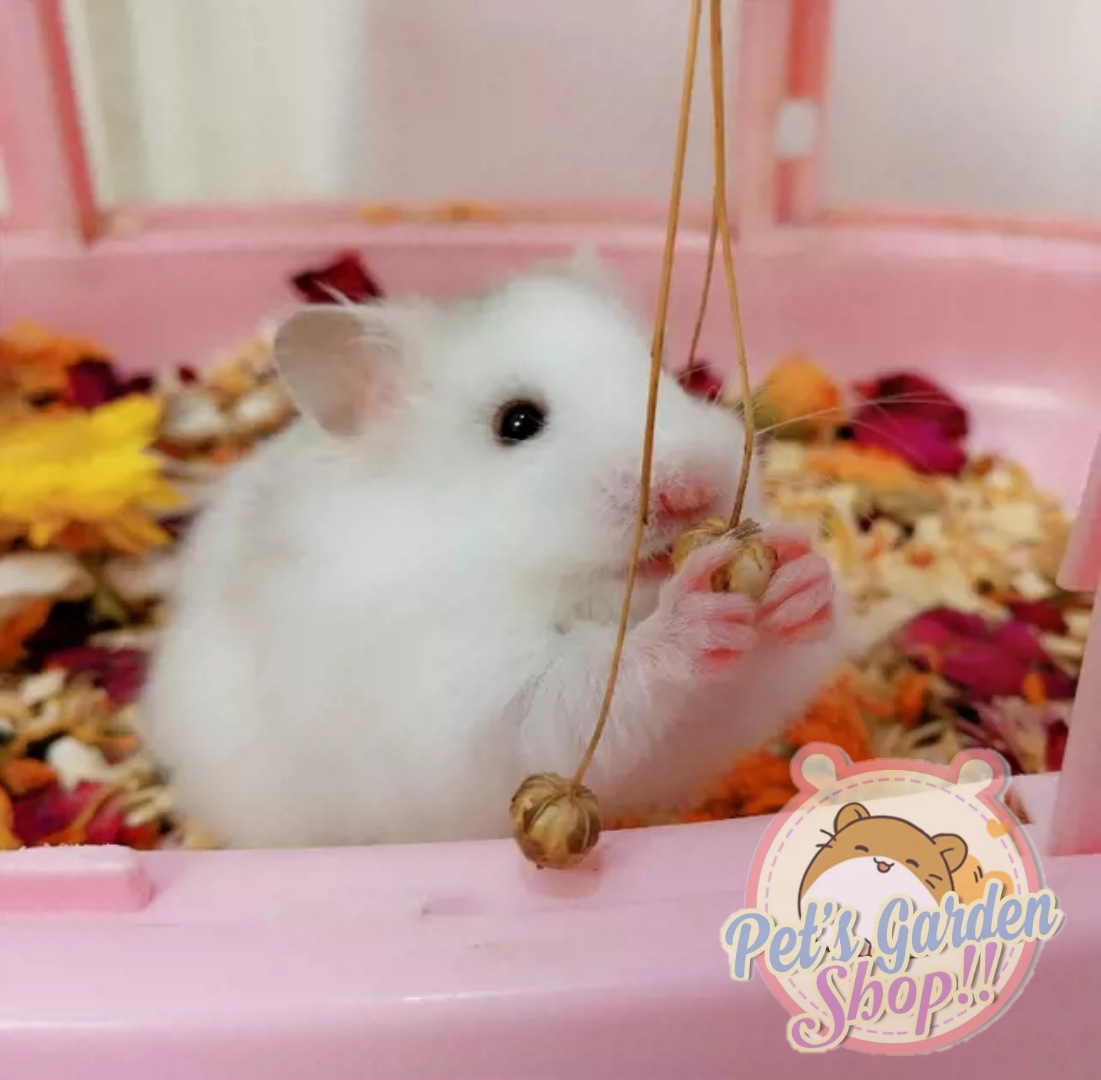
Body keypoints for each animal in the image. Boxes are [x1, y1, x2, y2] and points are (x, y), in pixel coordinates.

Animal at [141, 249, 848, 848]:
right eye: (517, 423)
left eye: (669, 378)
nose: (691, 490)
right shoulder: (474, 698)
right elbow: (589, 683)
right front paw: (690, 616)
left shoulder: (725, 712)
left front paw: (800, 577)